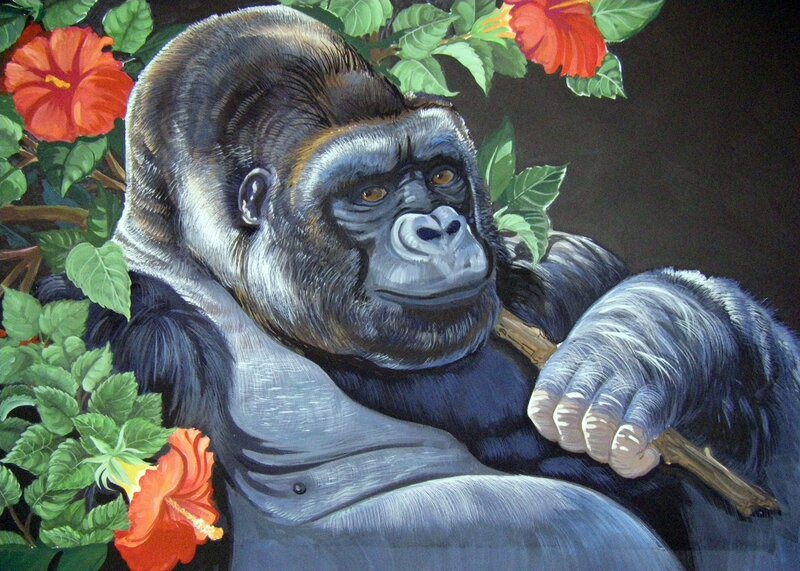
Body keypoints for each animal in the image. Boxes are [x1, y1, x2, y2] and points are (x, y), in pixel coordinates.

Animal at [38, 6, 799, 570]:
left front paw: (638, 346)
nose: (440, 226)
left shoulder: (552, 270)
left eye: (440, 175)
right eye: (370, 193)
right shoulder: (115, 343)